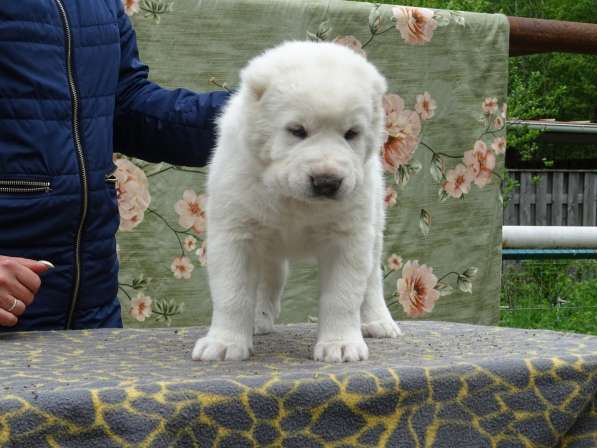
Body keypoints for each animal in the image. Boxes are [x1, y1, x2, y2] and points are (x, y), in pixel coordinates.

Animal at [193, 41, 400, 364]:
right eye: (297, 130)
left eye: (351, 133)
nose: (327, 181)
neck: (293, 201)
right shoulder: (235, 230)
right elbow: (233, 291)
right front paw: (224, 344)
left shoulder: (348, 235)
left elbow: (343, 294)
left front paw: (340, 345)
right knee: (269, 279)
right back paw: (258, 319)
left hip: (375, 219)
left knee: (372, 280)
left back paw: (378, 321)